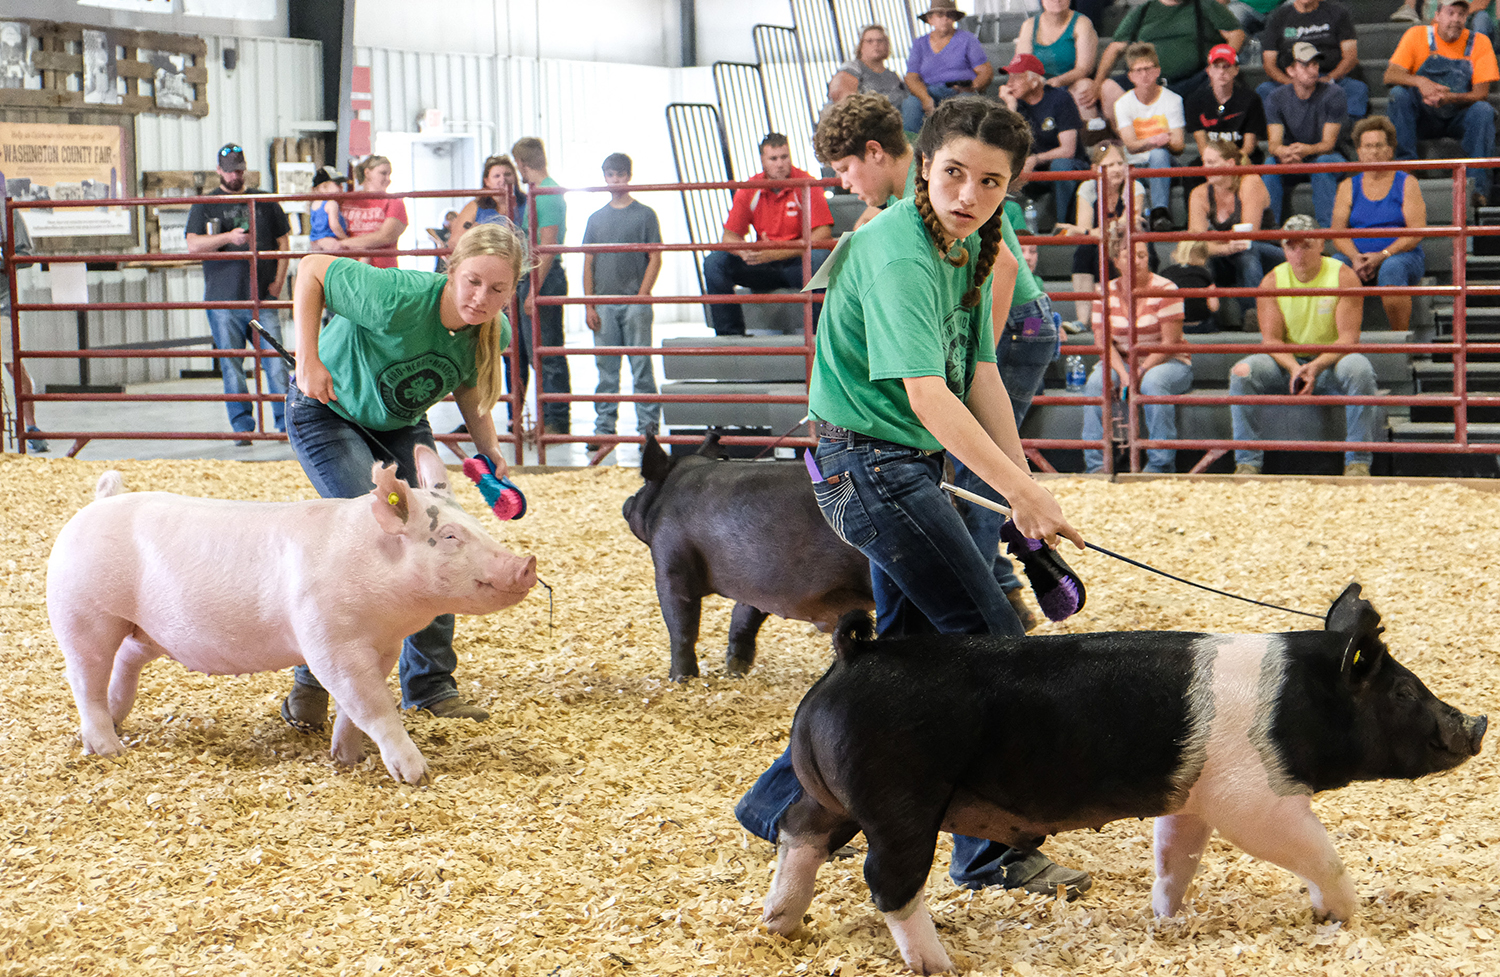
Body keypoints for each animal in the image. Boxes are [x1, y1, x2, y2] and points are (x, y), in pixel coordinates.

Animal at [47, 445, 536, 786]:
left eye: (479, 525)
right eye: (450, 536)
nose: (526, 563)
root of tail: (97, 504)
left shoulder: (383, 646)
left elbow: (354, 707)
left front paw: (348, 759)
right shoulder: (330, 643)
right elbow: (372, 704)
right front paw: (416, 775)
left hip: (146, 630)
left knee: (125, 662)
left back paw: (117, 721)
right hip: (83, 613)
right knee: (85, 677)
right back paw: (109, 749)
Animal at [622, 432, 873, 681]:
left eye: (644, 485)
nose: (627, 501)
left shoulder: (671, 565)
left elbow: (682, 624)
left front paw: (680, 679)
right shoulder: (758, 582)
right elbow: (744, 616)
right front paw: (736, 670)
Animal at [763, 584, 1487, 974]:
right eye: (1402, 692)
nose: (1476, 722)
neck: (1297, 702)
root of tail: (854, 654)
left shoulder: (1191, 797)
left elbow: (1175, 857)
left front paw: (1168, 920)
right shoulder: (1254, 797)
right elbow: (1319, 850)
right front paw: (1339, 915)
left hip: (830, 796)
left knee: (798, 832)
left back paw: (778, 928)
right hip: (899, 802)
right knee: (888, 880)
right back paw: (939, 963)